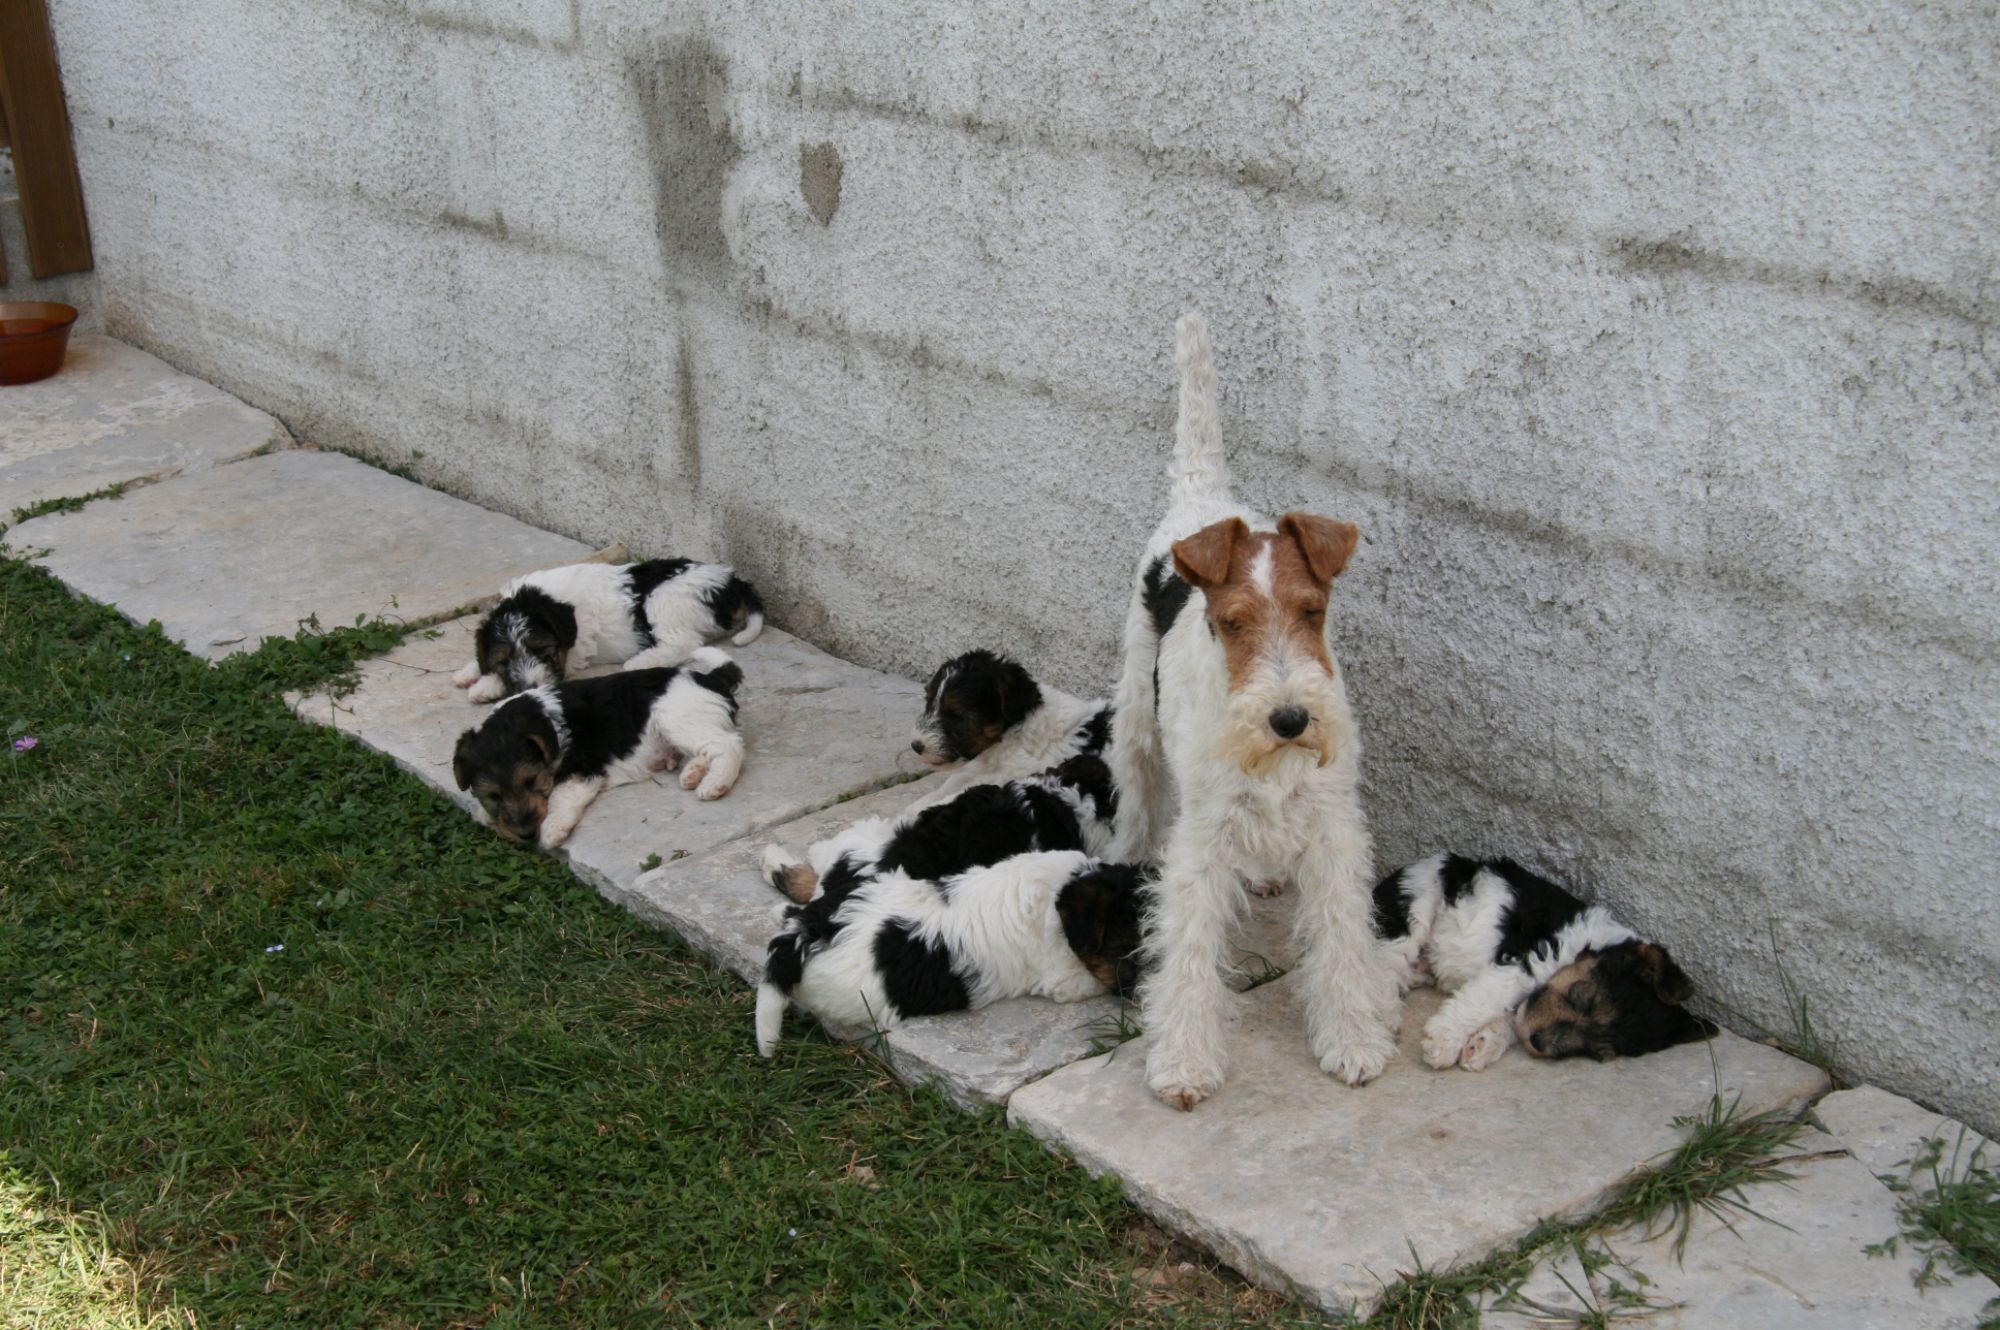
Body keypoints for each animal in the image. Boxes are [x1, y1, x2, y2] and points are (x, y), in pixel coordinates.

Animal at [451, 648, 745, 849]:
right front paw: (486, 814)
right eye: (494, 795)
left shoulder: (582, 768)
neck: (542, 719)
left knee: (729, 745)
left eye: (530, 781)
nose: (525, 834)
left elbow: (561, 795)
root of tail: (711, 677)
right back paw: (693, 773)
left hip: (677, 718)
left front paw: (552, 829)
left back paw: (715, 784)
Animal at [452, 559, 764, 703]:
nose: (530, 687)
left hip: (664, 598)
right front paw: (471, 673)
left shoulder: (574, 651)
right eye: (504, 661)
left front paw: (485, 685)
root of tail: (732, 583)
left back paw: (639, 661)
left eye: (542, 650)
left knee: (683, 642)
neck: (538, 599)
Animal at [906, 650, 1111, 810]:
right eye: (929, 701)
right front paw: (916, 806)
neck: (1015, 732)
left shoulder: (1015, 773)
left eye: (957, 714)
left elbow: (965, 789)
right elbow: (953, 782)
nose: (916, 746)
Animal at [1106, 313, 1395, 1109]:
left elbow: (1343, 940)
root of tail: (1203, 501)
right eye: (1232, 621)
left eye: (1313, 610)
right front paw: (1183, 1065)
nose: (1290, 720)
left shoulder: (1332, 828)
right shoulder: (1201, 842)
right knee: (1133, 806)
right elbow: (1188, 952)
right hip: (1135, 723)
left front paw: (1352, 1042)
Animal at [1375, 853, 1715, 1070]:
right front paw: (1444, 1042)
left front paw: (1482, 1045)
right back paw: (1386, 1015)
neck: (1588, 944)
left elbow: (1510, 1018)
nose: (1538, 1043)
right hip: (1414, 909)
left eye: (1598, 1051)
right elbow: (1483, 1000)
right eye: (1584, 998)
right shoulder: (1524, 963)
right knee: (1385, 963)